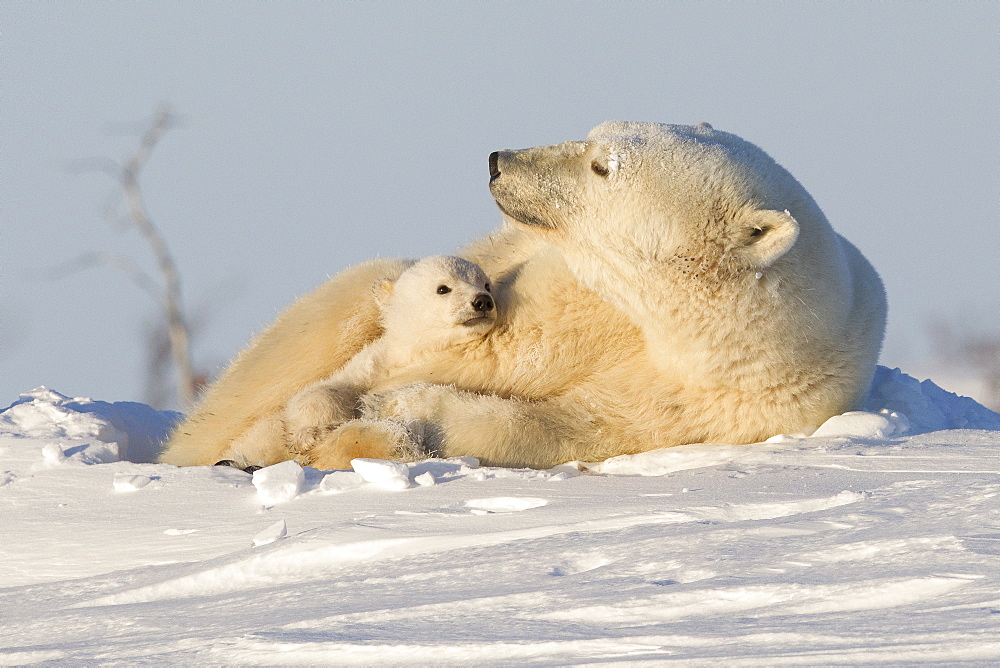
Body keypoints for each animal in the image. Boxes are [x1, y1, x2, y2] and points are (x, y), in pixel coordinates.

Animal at [156, 120, 884, 470]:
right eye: (597, 137)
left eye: (601, 166)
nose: (498, 160)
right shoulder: (568, 290)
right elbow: (480, 348)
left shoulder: (713, 403)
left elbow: (559, 424)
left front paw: (384, 420)